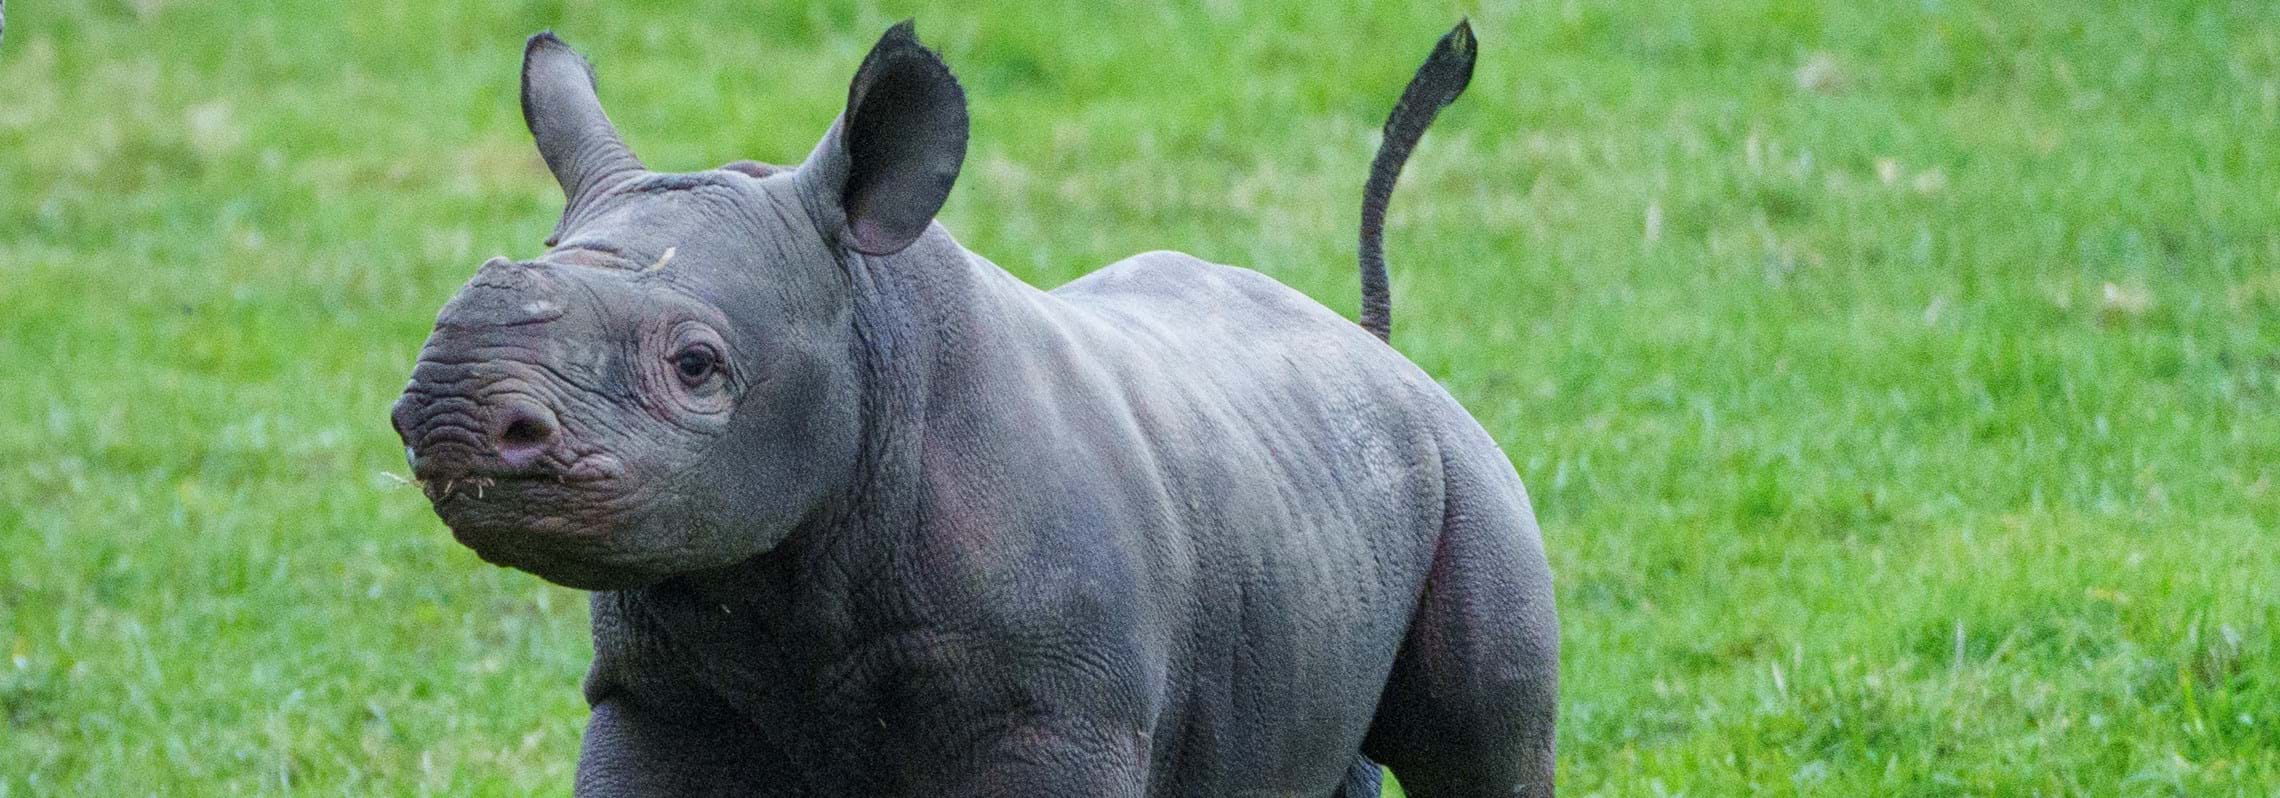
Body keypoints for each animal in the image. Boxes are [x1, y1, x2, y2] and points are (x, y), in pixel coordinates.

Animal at [390, 19, 1556, 797]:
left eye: (697, 366)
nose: (449, 409)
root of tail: (1379, 354)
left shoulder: (1056, 709)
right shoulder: (653, 693)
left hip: (1467, 476)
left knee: (1482, 748)